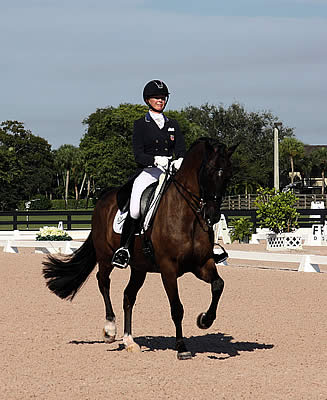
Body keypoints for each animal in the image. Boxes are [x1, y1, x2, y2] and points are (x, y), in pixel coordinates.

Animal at [44, 138, 238, 360]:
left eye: (229, 175)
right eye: (207, 171)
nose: (212, 216)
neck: (187, 216)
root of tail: (102, 199)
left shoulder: (202, 264)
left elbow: (218, 285)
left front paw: (204, 320)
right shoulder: (168, 268)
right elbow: (177, 308)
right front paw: (182, 347)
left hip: (139, 268)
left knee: (128, 295)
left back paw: (129, 341)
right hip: (105, 257)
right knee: (103, 282)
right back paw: (110, 329)